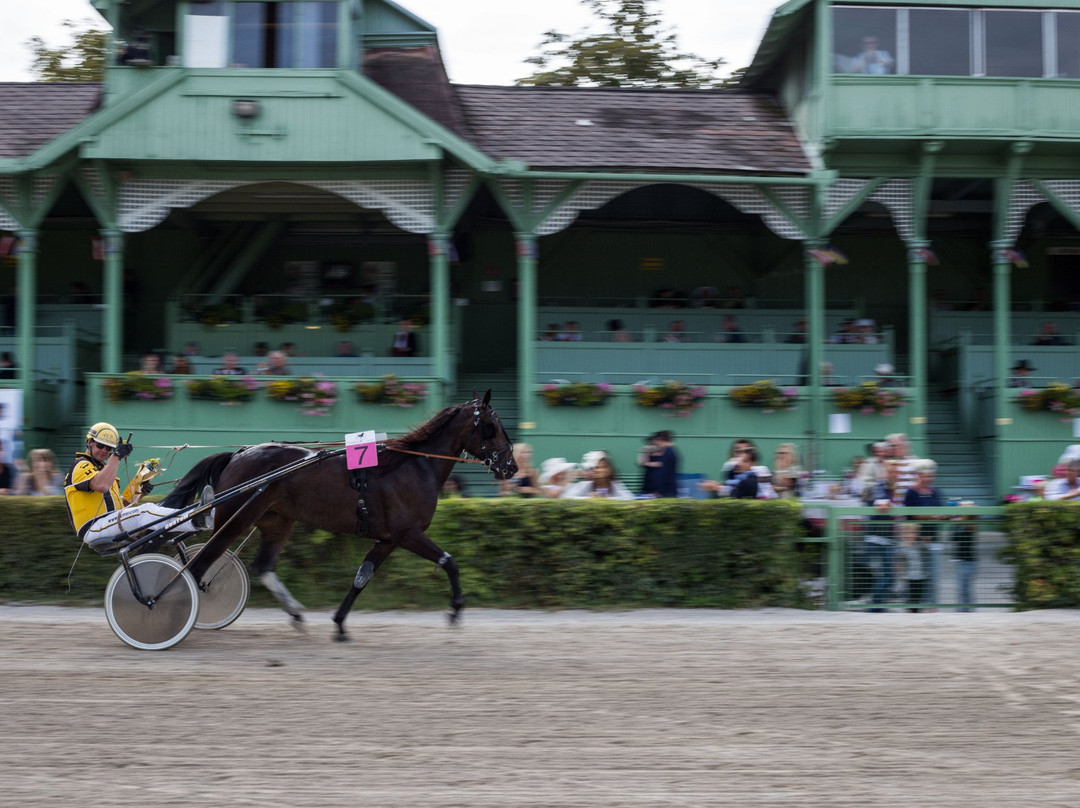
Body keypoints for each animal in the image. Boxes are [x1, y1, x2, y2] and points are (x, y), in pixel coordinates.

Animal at [157, 388, 516, 639]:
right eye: (491, 426)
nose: (510, 467)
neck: (413, 465)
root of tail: (238, 454)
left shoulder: (387, 539)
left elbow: (361, 577)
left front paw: (340, 624)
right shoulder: (408, 534)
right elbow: (449, 561)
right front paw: (455, 611)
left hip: (277, 521)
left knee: (262, 567)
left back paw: (296, 614)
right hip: (237, 519)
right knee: (199, 565)